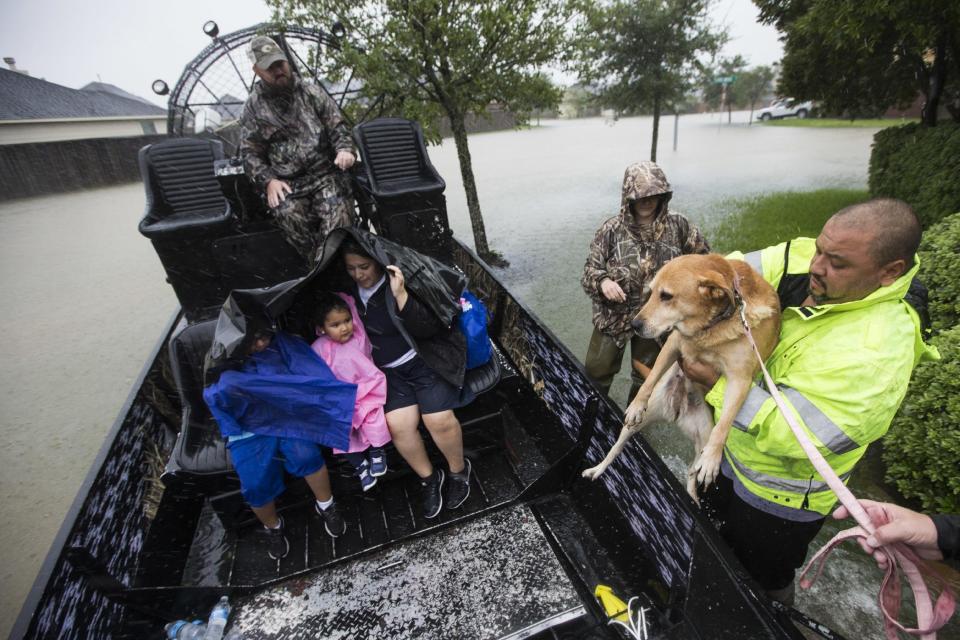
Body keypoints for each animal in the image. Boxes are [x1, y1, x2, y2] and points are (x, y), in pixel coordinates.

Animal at [584, 254, 780, 500]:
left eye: (666, 296)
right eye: (650, 292)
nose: (634, 325)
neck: (711, 328)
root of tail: (677, 412)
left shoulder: (740, 379)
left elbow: (725, 422)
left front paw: (712, 458)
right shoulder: (673, 343)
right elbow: (650, 379)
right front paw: (637, 405)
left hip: (703, 435)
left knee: (691, 471)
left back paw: (694, 497)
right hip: (637, 424)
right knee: (615, 449)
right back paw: (596, 469)